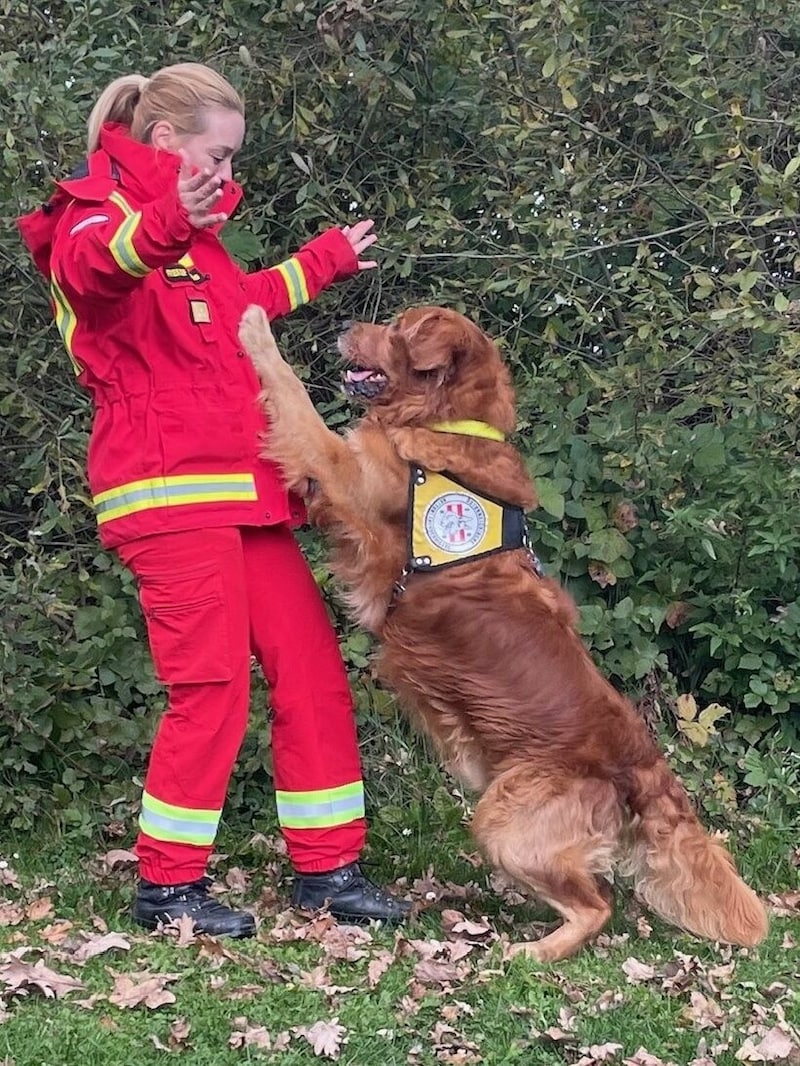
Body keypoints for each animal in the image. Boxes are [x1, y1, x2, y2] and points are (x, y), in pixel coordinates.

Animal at [240, 304, 772, 963]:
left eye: (398, 327)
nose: (345, 327)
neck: (444, 418)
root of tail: (644, 762)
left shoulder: (349, 476)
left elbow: (296, 400)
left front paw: (255, 331)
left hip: (504, 820)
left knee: (598, 906)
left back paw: (530, 953)